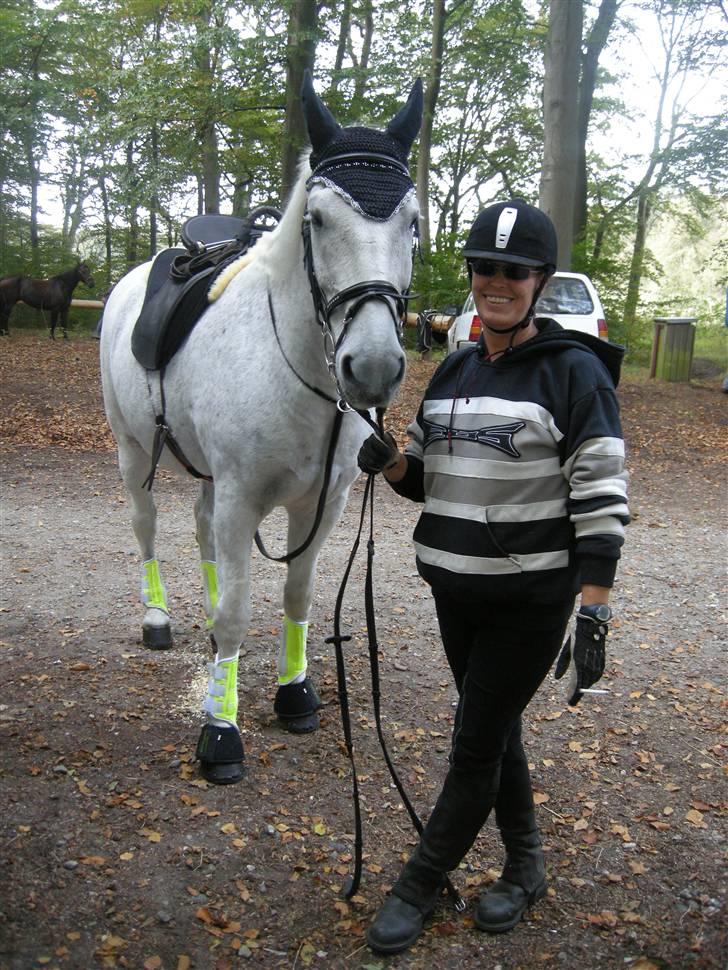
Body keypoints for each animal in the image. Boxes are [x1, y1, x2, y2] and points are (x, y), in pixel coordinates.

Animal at [99, 72, 424, 784]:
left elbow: (296, 595)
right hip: (133, 451)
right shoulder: (243, 495)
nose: (373, 366)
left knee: (203, 527)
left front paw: (293, 691)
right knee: (147, 525)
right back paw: (158, 616)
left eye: (412, 223)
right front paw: (220, 730)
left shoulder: (320, 505)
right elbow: (238, 612)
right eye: (318, 219)